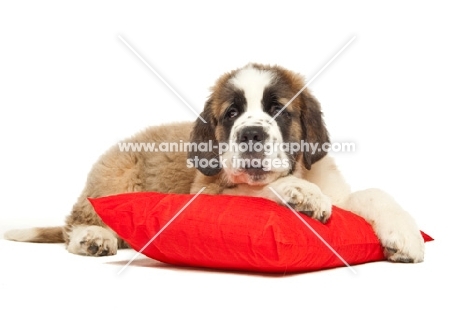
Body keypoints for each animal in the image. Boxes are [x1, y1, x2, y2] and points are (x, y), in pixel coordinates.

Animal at [3, 64, 424, 262]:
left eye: (278, 110)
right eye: (232, 114)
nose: (250, 134)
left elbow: (372, 194)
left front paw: (405, 234)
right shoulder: (209, 194)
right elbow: (261, 189)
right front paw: (300, 192)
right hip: (115, 171)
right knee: (76, 221)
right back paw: (94, 238)